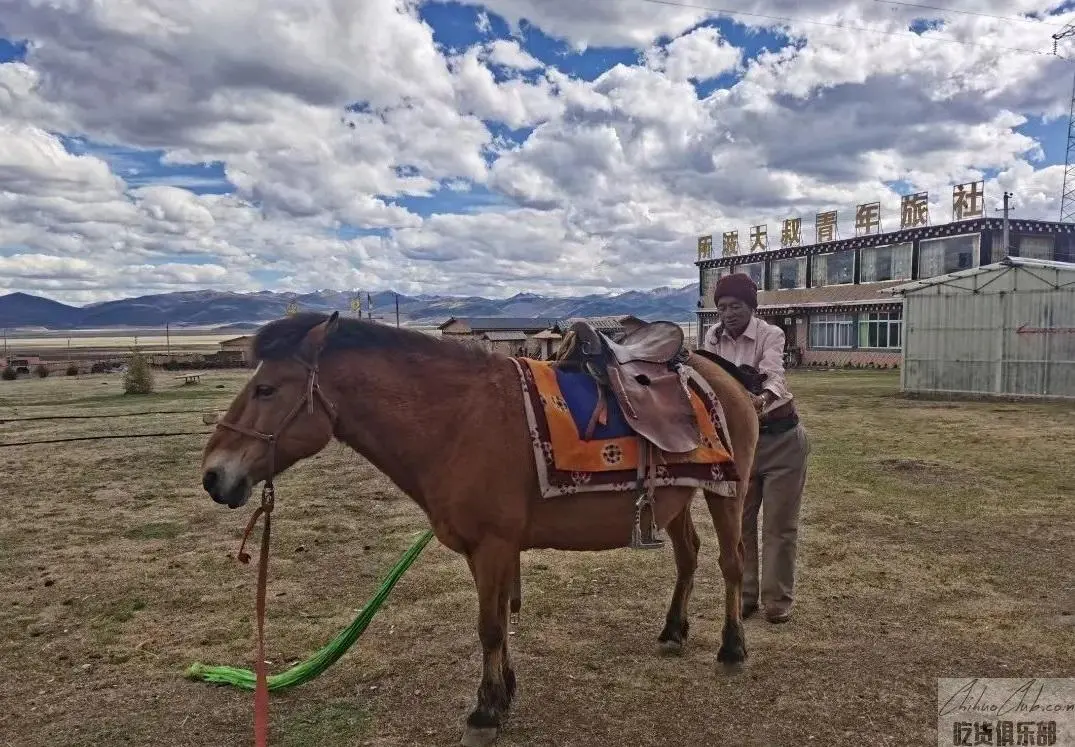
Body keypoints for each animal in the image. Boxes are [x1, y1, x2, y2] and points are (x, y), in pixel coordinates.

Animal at [199, 311, 756, 743]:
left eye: (266, 389)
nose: (212, 475)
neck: (457, 420)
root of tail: (723, 374)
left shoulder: (493, 545)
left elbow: (489, 626)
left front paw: (486, 711)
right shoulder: (485, 550)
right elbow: (499, 623)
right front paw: (504, 692)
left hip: (728, 492)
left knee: (731, 563)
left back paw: (732, 648)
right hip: (675, 501)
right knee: (689, 556)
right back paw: (673, 631)